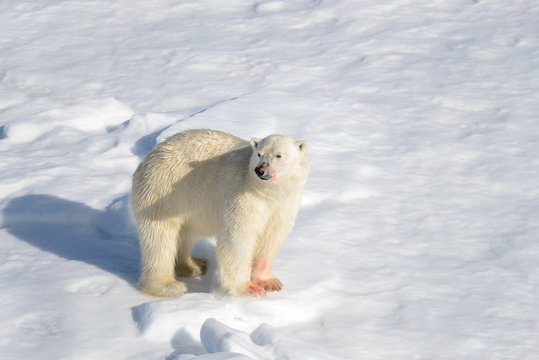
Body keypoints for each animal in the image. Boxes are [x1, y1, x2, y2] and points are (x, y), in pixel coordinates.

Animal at [131, 128, 310, 296]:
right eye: (259, 154)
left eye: (279, 155)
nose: (260, 170)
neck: (267, 192)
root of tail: (146, 160)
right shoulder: (243, 194)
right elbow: (238, 236)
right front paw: (248, 289)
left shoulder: (284, 203)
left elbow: (272, 237)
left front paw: (269, 283)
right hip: (161, 192)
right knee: (160, 239)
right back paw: (169, 285)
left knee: (185, 233)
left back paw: (194, 265)